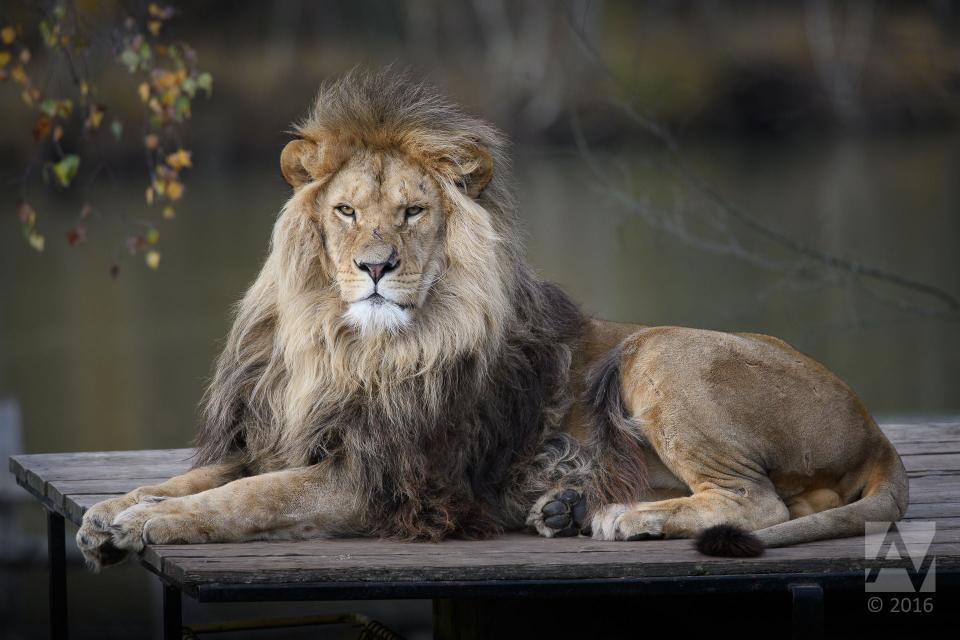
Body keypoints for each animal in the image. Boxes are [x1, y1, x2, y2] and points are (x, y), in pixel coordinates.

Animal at [77, 70, 908, 568]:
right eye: (345, 211)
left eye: (413, 211)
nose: (375, 267)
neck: (347, 348)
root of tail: (874, 428)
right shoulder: (281, 438)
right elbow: (195, 478)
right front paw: (113, 511)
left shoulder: (375, 479)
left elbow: (246, 498)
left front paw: (149, 524)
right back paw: (568, 507)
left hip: (660, 353)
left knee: (755, 499)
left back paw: (620, 519)